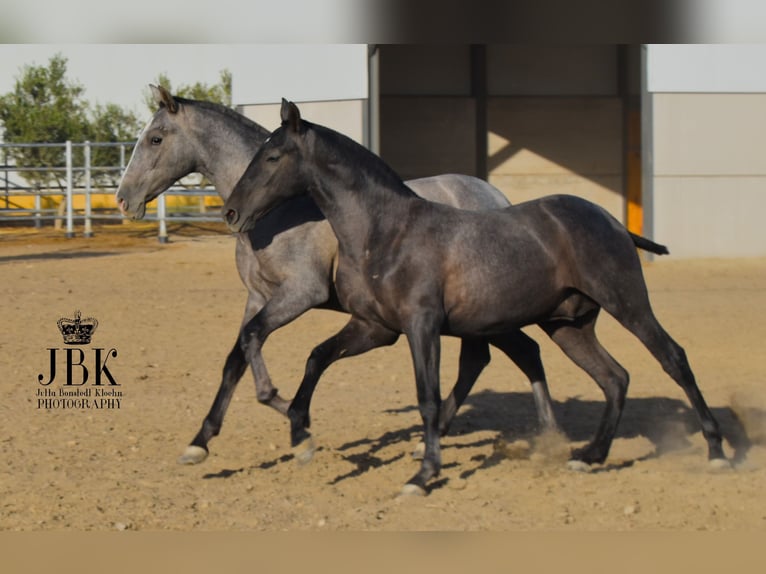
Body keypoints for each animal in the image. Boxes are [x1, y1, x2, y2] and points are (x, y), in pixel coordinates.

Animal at [114, 86, 560, 468]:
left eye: (155, 139)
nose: (123, 199)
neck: (279, 212)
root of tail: (495, 197)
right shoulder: (258, 297)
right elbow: (236, 358)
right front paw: (200, 442)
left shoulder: (301, 294)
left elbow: (258, 343)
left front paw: (296, 424)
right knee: (490, 358)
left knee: (500, 356)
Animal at [224, 99, 732, 496]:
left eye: (272, 156)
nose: (230, 211)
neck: (385, 232)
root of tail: (611, 220)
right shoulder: (375, 328)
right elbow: (317, 357)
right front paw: (299, 433)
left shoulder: (421, 326)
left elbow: (428, 397)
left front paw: (422, 475)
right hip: (568, 326)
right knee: (615, 378)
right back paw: (589, 455)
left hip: (627, 303)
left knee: (672, 358)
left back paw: (716, 450)